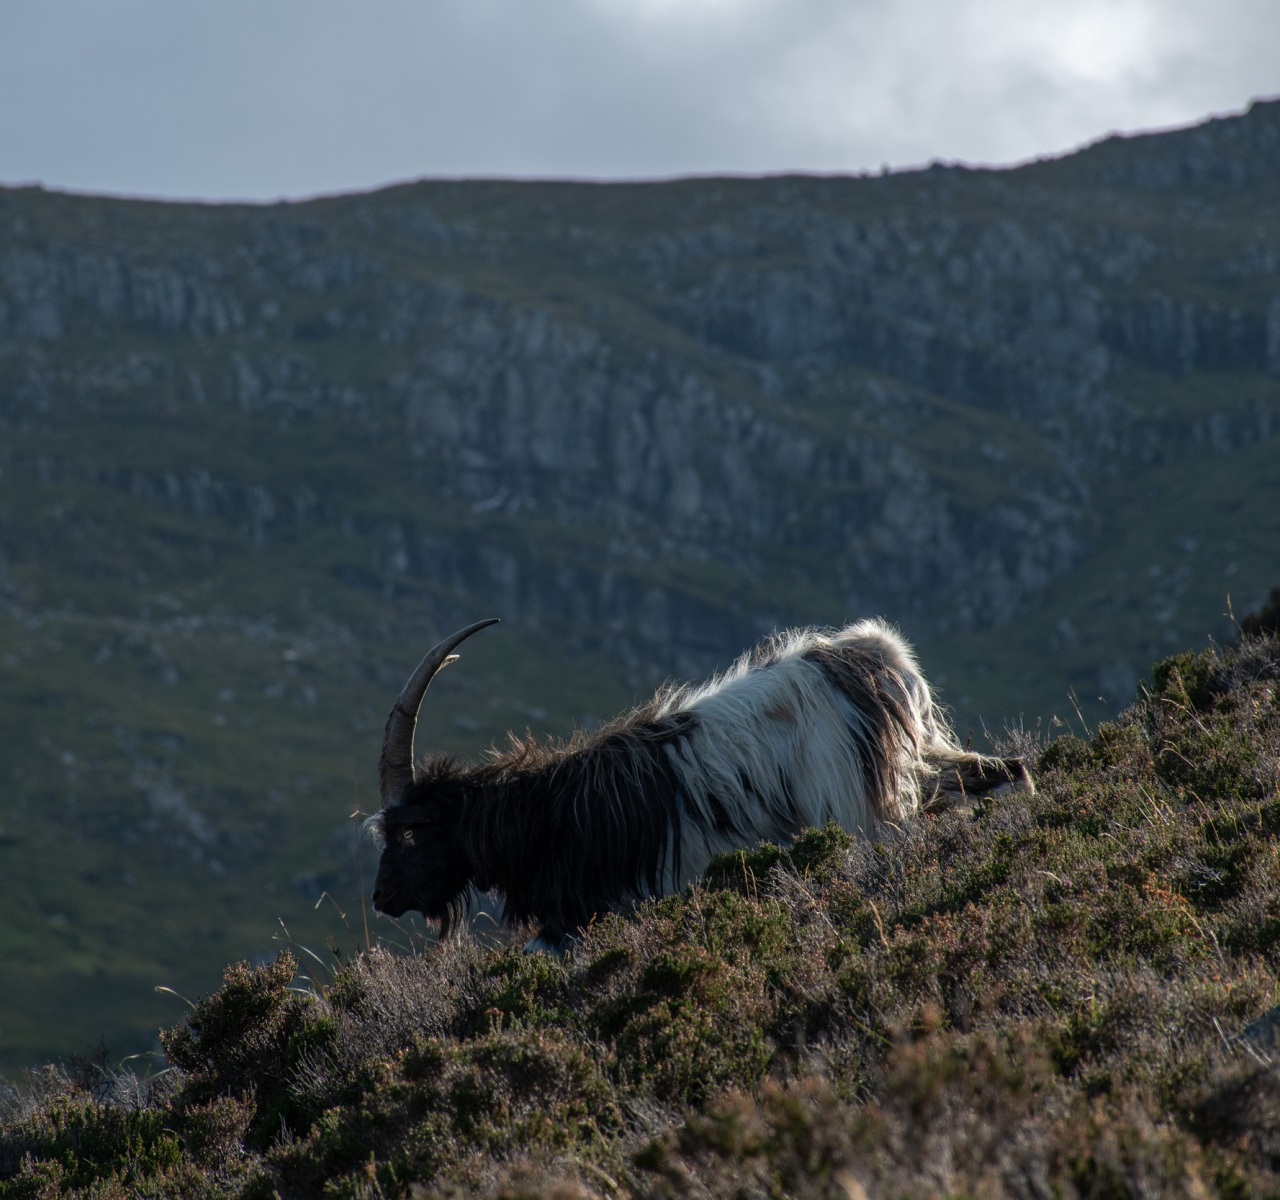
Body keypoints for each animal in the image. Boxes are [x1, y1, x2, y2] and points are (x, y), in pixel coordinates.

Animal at [367, 618, 1032, 948]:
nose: (381, 898)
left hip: (866, 813)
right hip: (920, 767)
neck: (549, 817)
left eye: (406, 835)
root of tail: (875, 657)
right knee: (1008, 775)